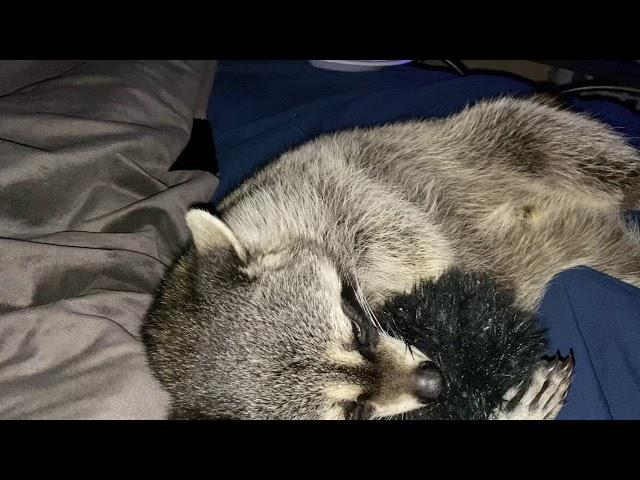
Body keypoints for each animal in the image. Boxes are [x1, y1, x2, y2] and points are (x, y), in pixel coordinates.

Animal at [142, 95, 640, 418]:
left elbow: (398, 226)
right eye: (355, 410)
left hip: (493, 138)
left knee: (551, 140)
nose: (435, 382)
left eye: (357, 330)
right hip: (583, 238)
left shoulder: (313, 185)